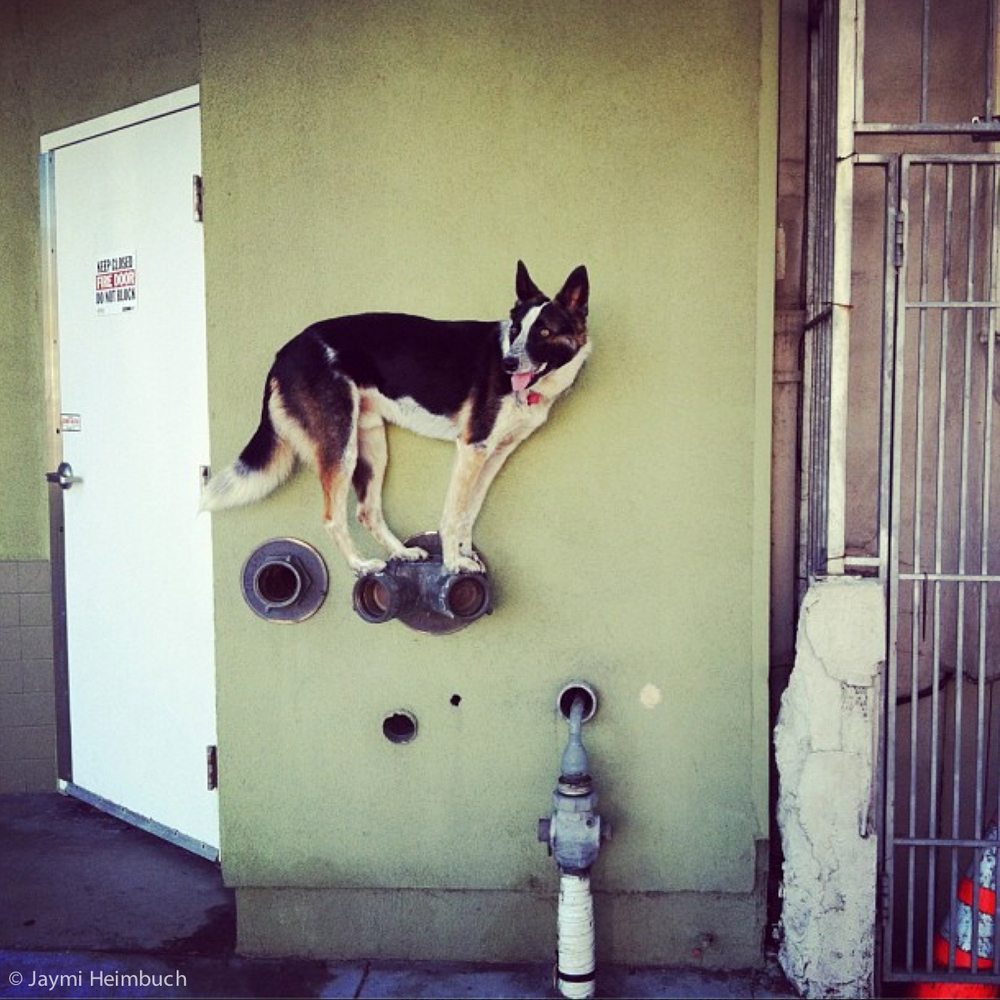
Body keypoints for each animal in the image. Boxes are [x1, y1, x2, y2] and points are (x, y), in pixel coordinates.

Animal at [204, 264, 592, 580]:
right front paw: (454, 564)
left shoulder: (495, 454)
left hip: (372, 444)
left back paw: (402, 553)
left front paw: (467, 555)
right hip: (341, 447)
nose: (509, 364)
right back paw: (361, 565)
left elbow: (469, 511)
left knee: (367, 510)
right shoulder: (472, 448)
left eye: (543, 333)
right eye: (515, 329)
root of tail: (284, 352)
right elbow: (453, 514)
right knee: (333, 517)